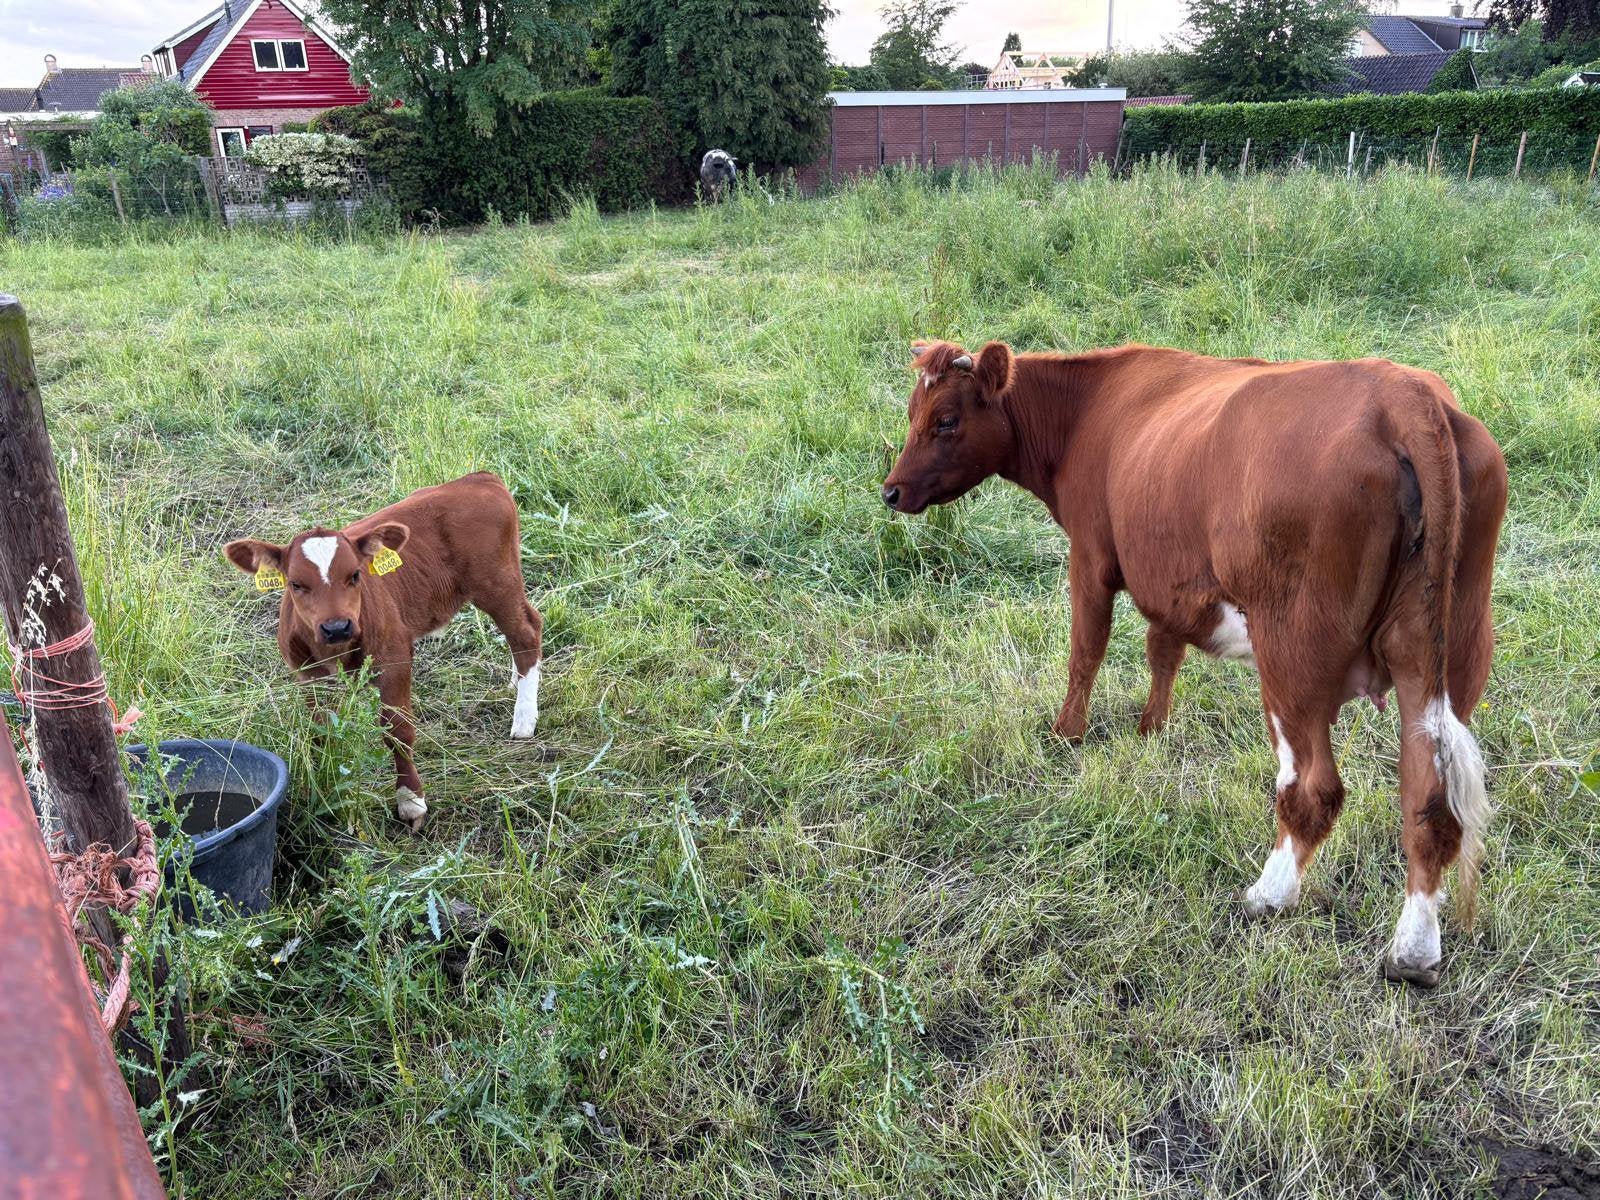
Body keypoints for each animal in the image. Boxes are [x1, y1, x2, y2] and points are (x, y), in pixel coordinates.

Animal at [224, 472, 543, 831]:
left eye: (355, 575)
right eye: (295, 584)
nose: (337, 626)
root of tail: (478, 479)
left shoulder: (395, 656)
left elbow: (397, 729)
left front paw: (411, 802)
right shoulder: (308, 675)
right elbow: (322, 732)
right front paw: (329, 791)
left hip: (497, 582)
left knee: (526, 630)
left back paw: (524, 719)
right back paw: (516, 682)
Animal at [882, 340, 1508, 987]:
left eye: (946, 420)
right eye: (912, 413)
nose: (891, 491)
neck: (1090, 409)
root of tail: (1405, 394)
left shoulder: (1091, 555)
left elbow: (1087, 650)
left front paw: (1066, 734)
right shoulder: (1169, 582)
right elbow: (1164, 650)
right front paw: (1151, 730)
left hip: (1292, 659)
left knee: (1315, 790)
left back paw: (1268, 895)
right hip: (1444, 660)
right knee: (1430, 802)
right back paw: (1414, 951)